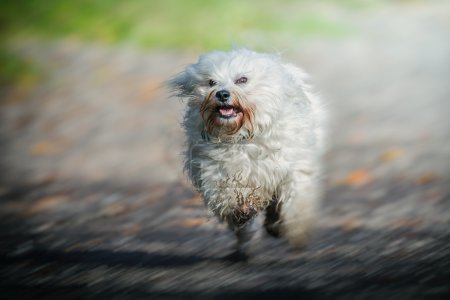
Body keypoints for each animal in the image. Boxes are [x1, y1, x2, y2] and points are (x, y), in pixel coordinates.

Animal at [169, 48, 326, 258]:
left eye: (242, 79)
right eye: (211, 82)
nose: (222, 94)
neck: (239, 137)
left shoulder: (292, 169)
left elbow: (296, 204)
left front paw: (298, 233)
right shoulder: (215, 171)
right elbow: (228, 195)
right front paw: (240, 211)